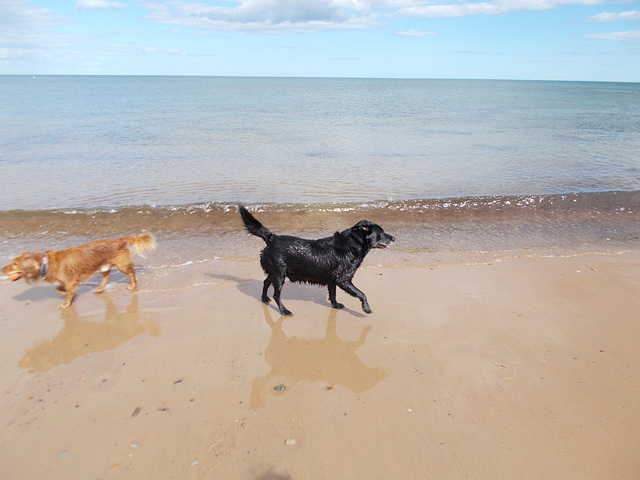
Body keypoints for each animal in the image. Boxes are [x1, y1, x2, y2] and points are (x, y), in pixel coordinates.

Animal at [2, 233, 156, 310]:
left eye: (15, 264)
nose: (1, 268)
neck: (46, 262)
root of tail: (119, 240)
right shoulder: (65, 281)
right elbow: (59, 289)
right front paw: (65, 295)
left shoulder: (71, 281)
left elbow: (67, 292)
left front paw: (66, 302)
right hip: (104, 265)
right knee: (106, 276)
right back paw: (99, 288)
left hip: (121, 264)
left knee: (131, 273)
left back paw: (132, 285)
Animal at [238, 205, 392, 316]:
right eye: (382, 233)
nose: (394, 238)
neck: (352, 243)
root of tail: (272, 238)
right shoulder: (343, 279)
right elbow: (362, 294)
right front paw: (366, 309)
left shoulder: (333, 279)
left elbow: (333, 294)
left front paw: (336, 306)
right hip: (279, 275)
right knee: (276, 295)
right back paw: (284, 311)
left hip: (276, 272)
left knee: (266, 282)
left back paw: (264, 299)